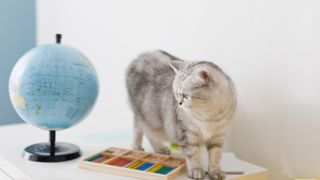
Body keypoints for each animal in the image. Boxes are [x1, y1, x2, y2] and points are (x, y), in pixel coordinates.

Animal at [126, 50, 236, 179]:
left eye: (185, 96)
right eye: (176, 94)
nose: (179, 103)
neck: (208, 115)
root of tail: (139, 57)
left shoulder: (218, 135)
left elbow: (216, 156)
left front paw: (215, 172)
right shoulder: (186, 134)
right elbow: (193, 155)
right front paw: (196, 170)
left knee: (149, 133)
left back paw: (160, 149)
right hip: (144, 115)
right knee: (139, 128)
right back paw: (138, 146)